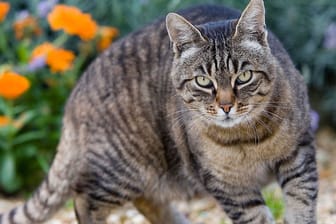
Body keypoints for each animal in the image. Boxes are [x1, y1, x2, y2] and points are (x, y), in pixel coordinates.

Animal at [0, 0, 318, 224]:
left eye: (244, 76)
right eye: (204, 81)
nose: (227, 106)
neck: (246, 139)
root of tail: (76, 92)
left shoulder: (299, 156)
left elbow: (302, 206)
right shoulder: (229, 186)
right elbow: (256, 218)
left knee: (147, 201)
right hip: (119, 168)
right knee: (85, 199)